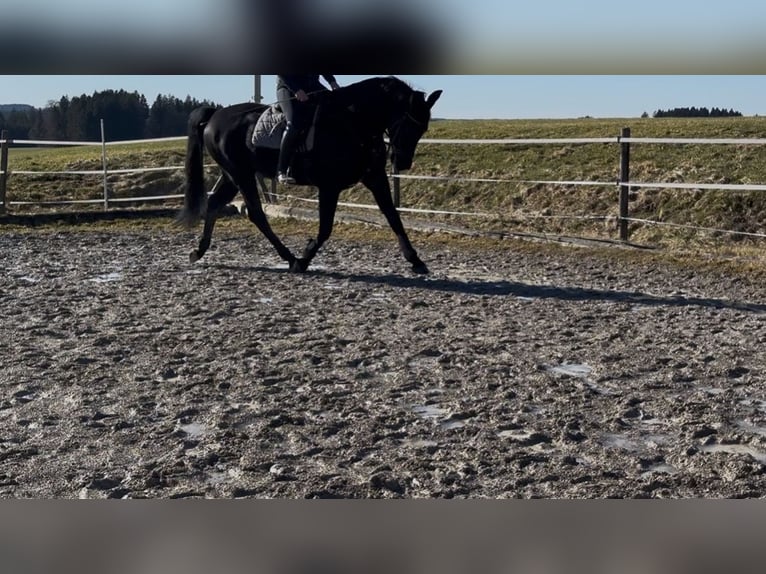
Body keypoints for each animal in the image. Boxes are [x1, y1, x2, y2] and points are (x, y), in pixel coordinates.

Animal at [176, 76, 442, 274]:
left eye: (423, 128)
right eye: (409, 124)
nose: (403, 163)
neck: (353, 122)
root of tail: (215, 115)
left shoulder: (375, 178)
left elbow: (393, 216)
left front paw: (416, 261)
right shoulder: (329, 186)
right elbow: (325, 228)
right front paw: (304, 259)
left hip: (233, 175)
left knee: (214, 204)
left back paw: (198, 251)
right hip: (241, 174)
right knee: (256, 214)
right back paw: (290, 258)